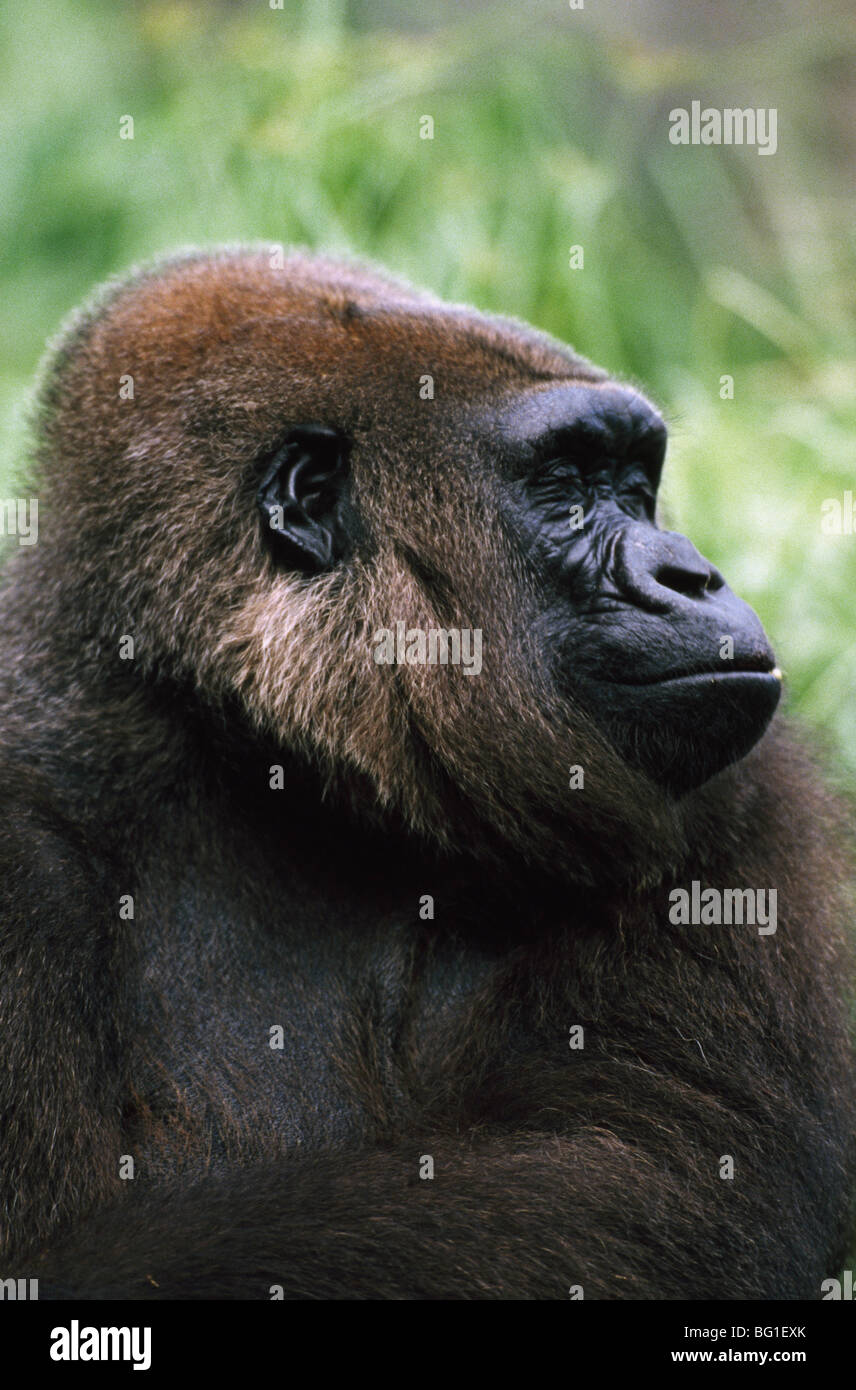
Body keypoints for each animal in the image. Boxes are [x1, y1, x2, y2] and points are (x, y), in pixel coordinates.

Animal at [0, 246, 853, 1299]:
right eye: (566, 487)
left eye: (635, 485)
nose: (694, 575)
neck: (259, 759)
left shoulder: (740, 795)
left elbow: (666, 1165)